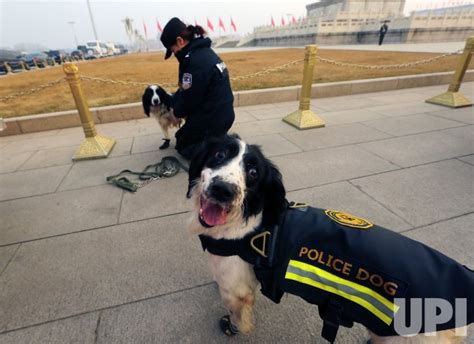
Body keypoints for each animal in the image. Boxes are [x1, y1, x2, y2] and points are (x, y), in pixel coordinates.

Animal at [186, 134, 470, 344]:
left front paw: (233, 326)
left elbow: (237, 314)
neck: (252, 222)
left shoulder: (237, 290)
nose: (223, 190)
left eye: (254, 172)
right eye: (219, 155)